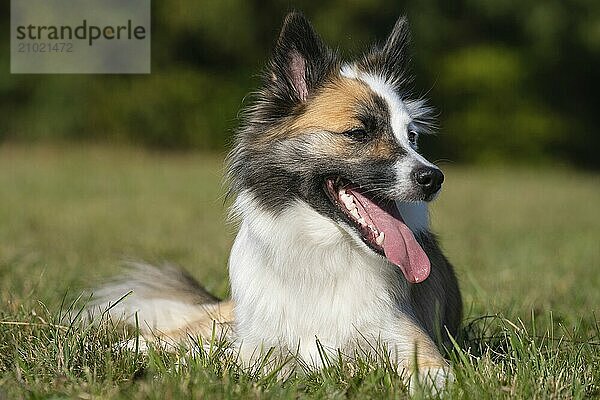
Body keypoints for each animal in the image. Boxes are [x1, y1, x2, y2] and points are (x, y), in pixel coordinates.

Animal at [90, 11, 464, 390]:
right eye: (359, 133)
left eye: (412, 137)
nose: (433, 178)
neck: (322, 250)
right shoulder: (259, 346)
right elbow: (220, 359)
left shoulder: (414, 346)